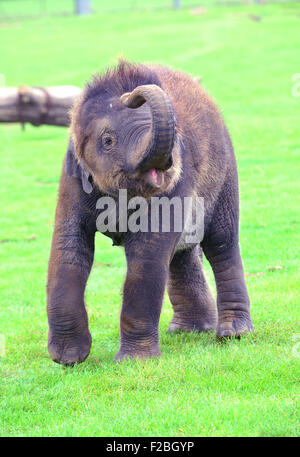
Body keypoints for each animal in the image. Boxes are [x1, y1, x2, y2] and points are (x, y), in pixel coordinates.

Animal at [47, 61, 253, 366]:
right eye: (107, 140)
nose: (132, 95)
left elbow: (148, 253)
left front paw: (134, 362)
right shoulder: (72, 176)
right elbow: (69, 245)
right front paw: (68, 359)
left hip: (225, 172)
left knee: (221, 242)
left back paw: (233, 335)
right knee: (182, 252)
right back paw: (190, 330)